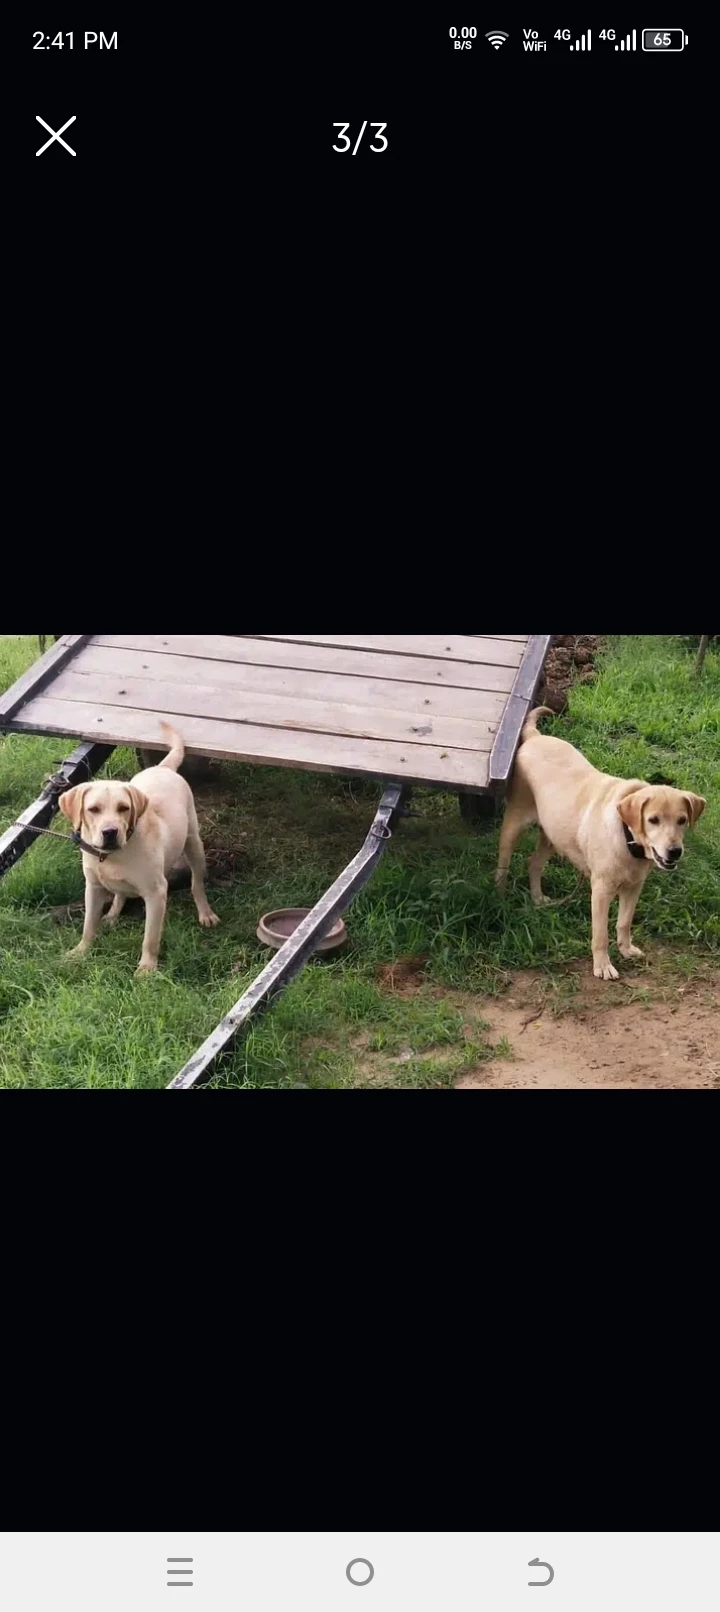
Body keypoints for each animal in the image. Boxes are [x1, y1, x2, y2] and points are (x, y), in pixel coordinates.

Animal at [59, 725, 219, 973]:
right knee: (119, 893)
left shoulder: (155, 894)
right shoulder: (93, 887)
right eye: (93, 809)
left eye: (124, 808)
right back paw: (112, 914)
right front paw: (80, 952)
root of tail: (162, 768)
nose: (110, 832)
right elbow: (88, 925)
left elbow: (150, 938)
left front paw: (146, 969)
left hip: (194, 843)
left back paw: (205, 912)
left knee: (196, 883)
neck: (113, 856)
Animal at [496, 709, 708, 980]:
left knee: (533, 863)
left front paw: (626, 949)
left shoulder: (634, 887)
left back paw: (538, 899)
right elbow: (600, 934)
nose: (674, 851)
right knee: (504, 862)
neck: (627, 837)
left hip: (552, 835)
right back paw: (499, 894)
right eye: (653, 820)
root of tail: (535, 736)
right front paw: (603, 965)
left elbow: (624, 922)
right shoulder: (601, 891)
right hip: (514, 823)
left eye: (682, 820)